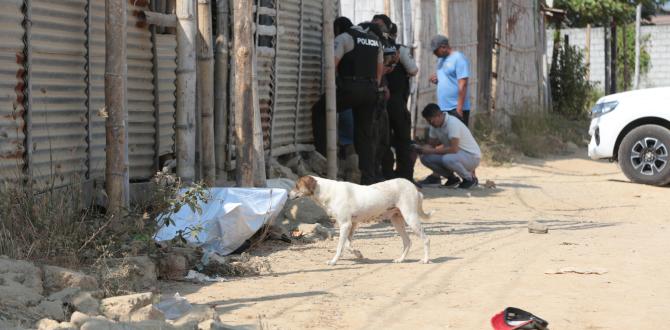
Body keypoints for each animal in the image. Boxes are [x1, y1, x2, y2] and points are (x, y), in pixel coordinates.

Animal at [290, 175, 436, 266]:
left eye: (296, 186)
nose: (288, 194)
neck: (326, 191)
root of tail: (413, 186)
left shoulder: (345, 224)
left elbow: (340, 247)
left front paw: (333, 261)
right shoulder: (352, 224)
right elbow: (348, 245)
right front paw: (358, 254)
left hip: (410, 217)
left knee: (426, 239)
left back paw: (425, 260)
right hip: (397, 220)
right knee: (407, 241)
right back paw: (400, 260)